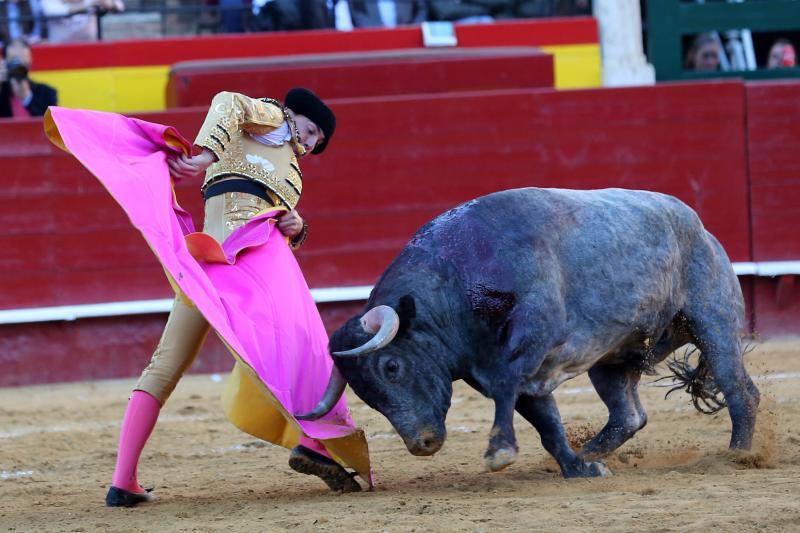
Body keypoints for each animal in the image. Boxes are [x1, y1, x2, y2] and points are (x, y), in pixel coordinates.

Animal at [296, 188, 760, 478]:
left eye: (391, 367)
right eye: (365, 394)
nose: (421, 443)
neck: (458, 283)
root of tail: (698, 226)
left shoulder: (530, 347)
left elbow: (507, 389)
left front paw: (500, 452)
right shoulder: (517, 377)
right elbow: (547, 423)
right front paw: (577, 467)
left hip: (713, 322)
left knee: (739, 390)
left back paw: (739, 454)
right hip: (614, 356)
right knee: (628, 415)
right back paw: (592, 451)